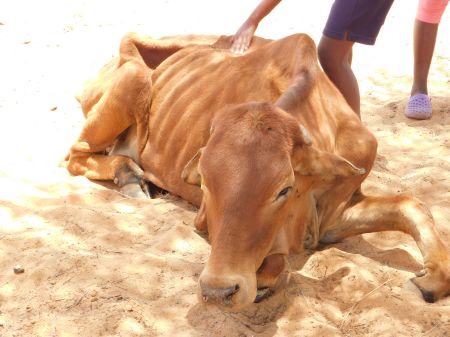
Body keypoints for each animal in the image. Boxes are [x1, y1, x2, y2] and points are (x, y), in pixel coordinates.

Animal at [64, 32, 450, 310]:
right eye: (205, 184)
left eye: (284, 189)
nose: (217, 291)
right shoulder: (204, 220)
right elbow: (278, 259)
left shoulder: (337, 211)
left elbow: (412, 205)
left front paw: (431, 277)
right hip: (131, 86)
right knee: (75, 155)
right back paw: (129, 175)